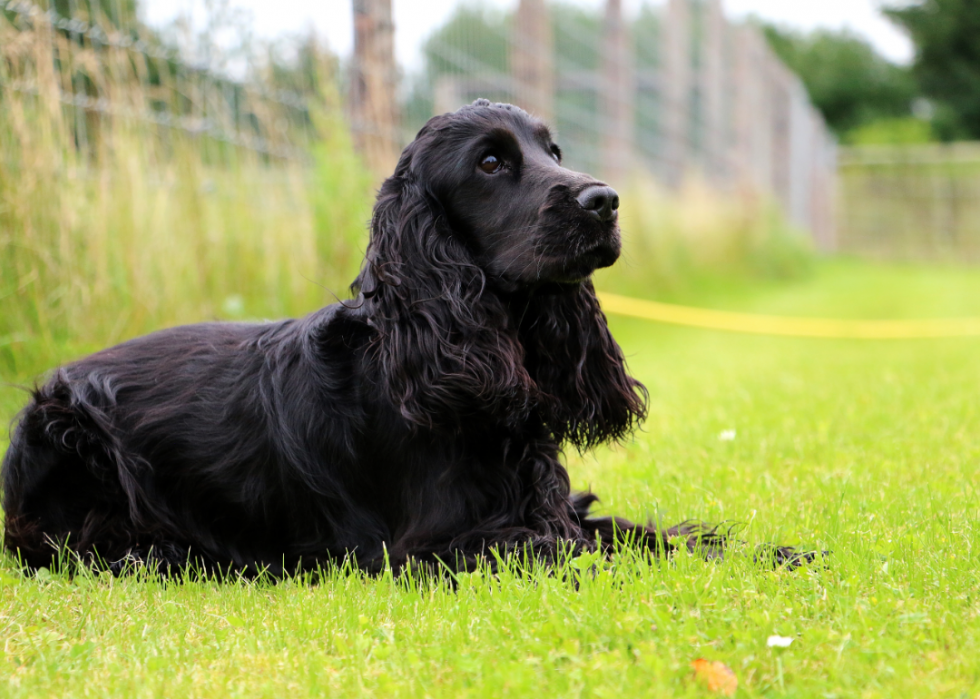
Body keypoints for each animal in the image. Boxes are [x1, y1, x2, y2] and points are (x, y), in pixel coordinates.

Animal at [0, 100, 796, 580]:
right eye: (490, 163)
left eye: (553, 149)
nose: (605, 201)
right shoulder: (433, 548)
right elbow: (583, 556)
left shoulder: (547, 506)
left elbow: (647, 535)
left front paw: (778, 550)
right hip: (69, 438)